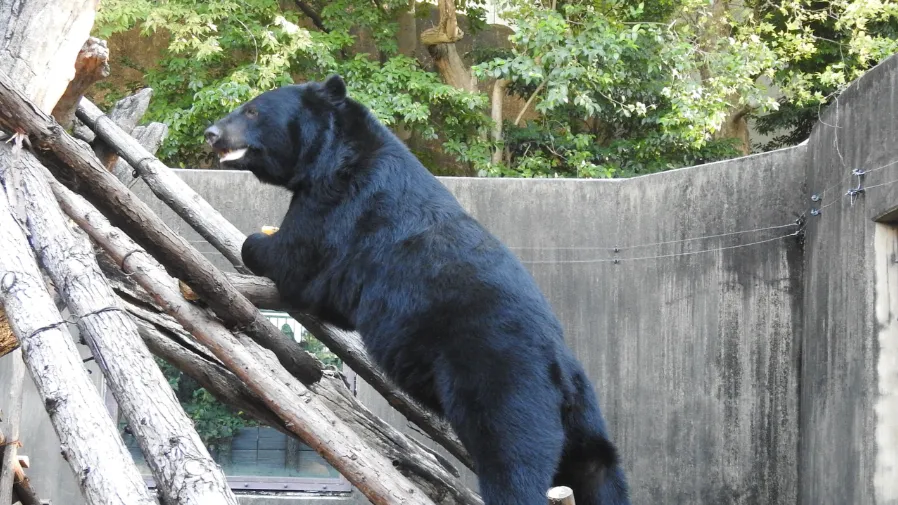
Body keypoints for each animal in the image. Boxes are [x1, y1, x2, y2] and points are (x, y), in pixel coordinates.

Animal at [204, 75, 630, 505]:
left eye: (252, 110)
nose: (212, 133)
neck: (333, 153)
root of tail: (557, 372)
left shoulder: (341, 206)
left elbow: (298, 260)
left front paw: (257, 241)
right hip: (584, 420)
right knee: (598, 469)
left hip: (504, 388)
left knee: (513, 463)